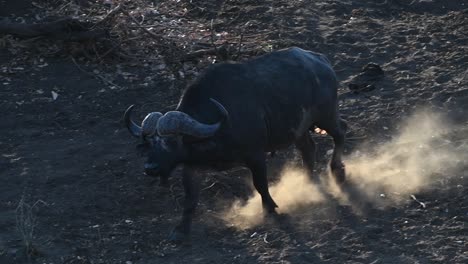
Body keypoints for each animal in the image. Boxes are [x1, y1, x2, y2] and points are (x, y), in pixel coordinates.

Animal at [124, 47, 348, 241]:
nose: (150, 168)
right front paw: (181, 230)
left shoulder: (256, 156)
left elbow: (261, 185)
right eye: (149, 142)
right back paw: (307, 180)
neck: (218, 128)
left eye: (171, 141)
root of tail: (320, 60)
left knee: (340, 133)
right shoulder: (191, 167)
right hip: (299, 130)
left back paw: (337, 169)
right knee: (309, 149)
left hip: (326, 115)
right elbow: (190, 199)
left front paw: (270, 209)